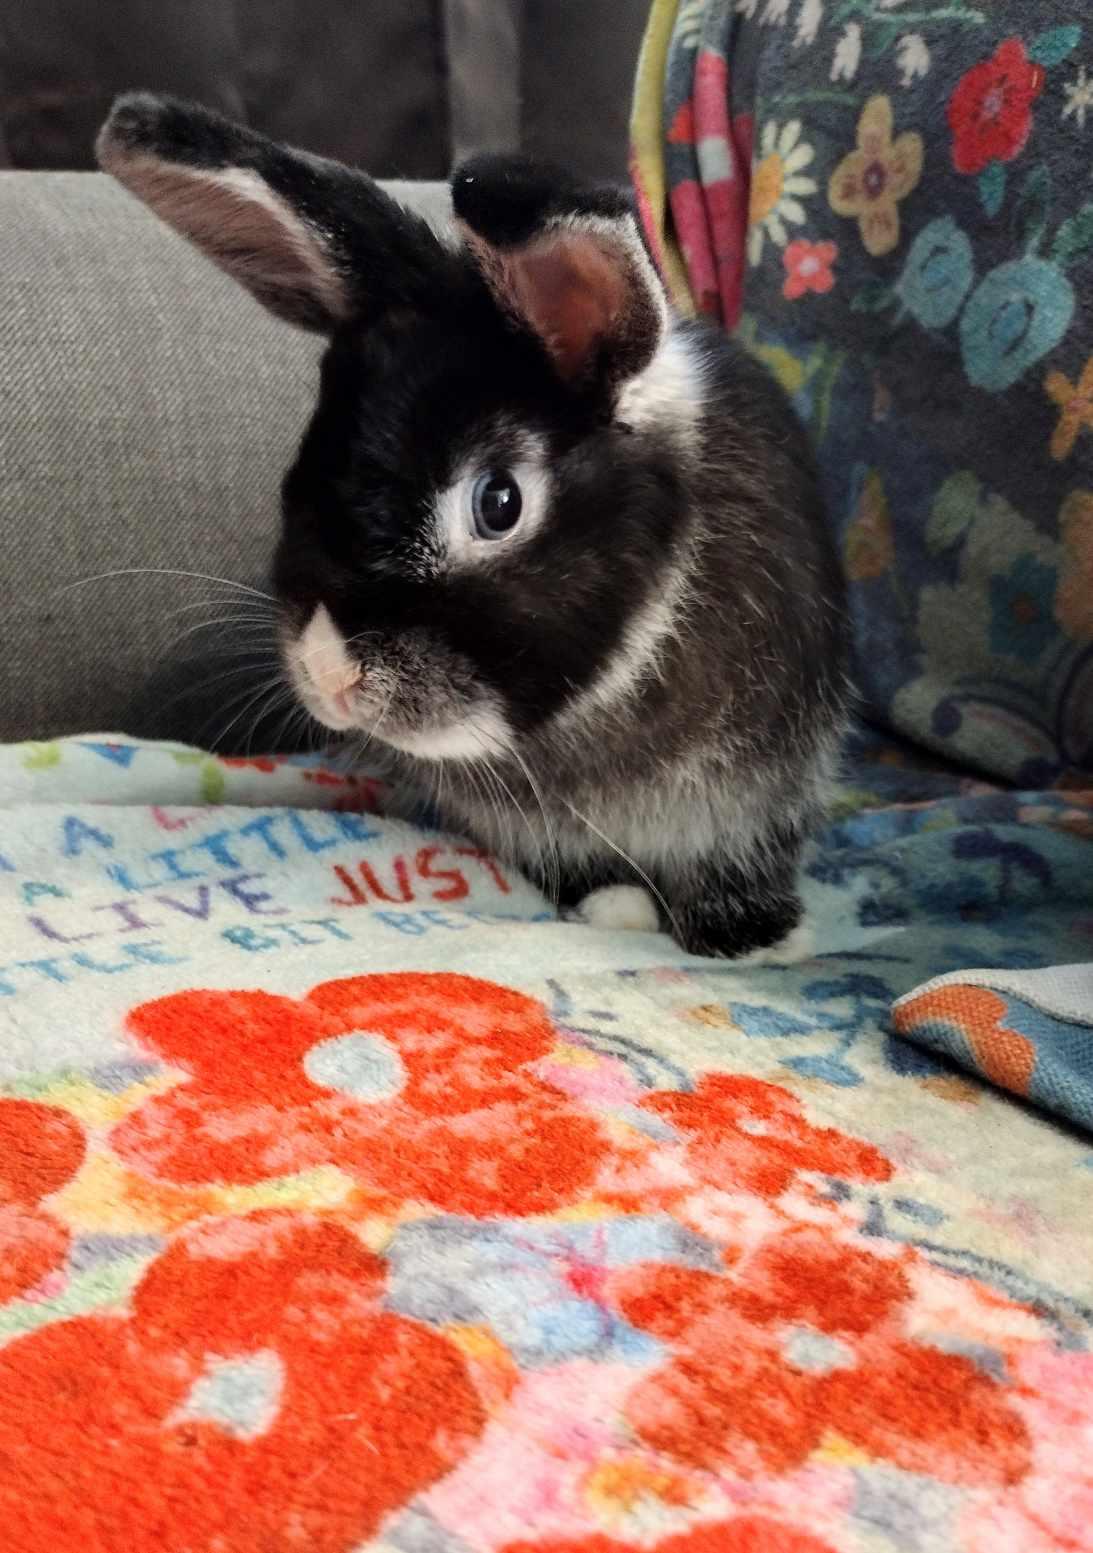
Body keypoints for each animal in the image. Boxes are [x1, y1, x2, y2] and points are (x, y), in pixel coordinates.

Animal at [97, 92, 851, 960]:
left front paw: (753, 940)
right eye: (304, 457)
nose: (329, 674)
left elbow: (738, 858)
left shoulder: (758, 791)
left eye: (498, 503)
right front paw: (608, 905)